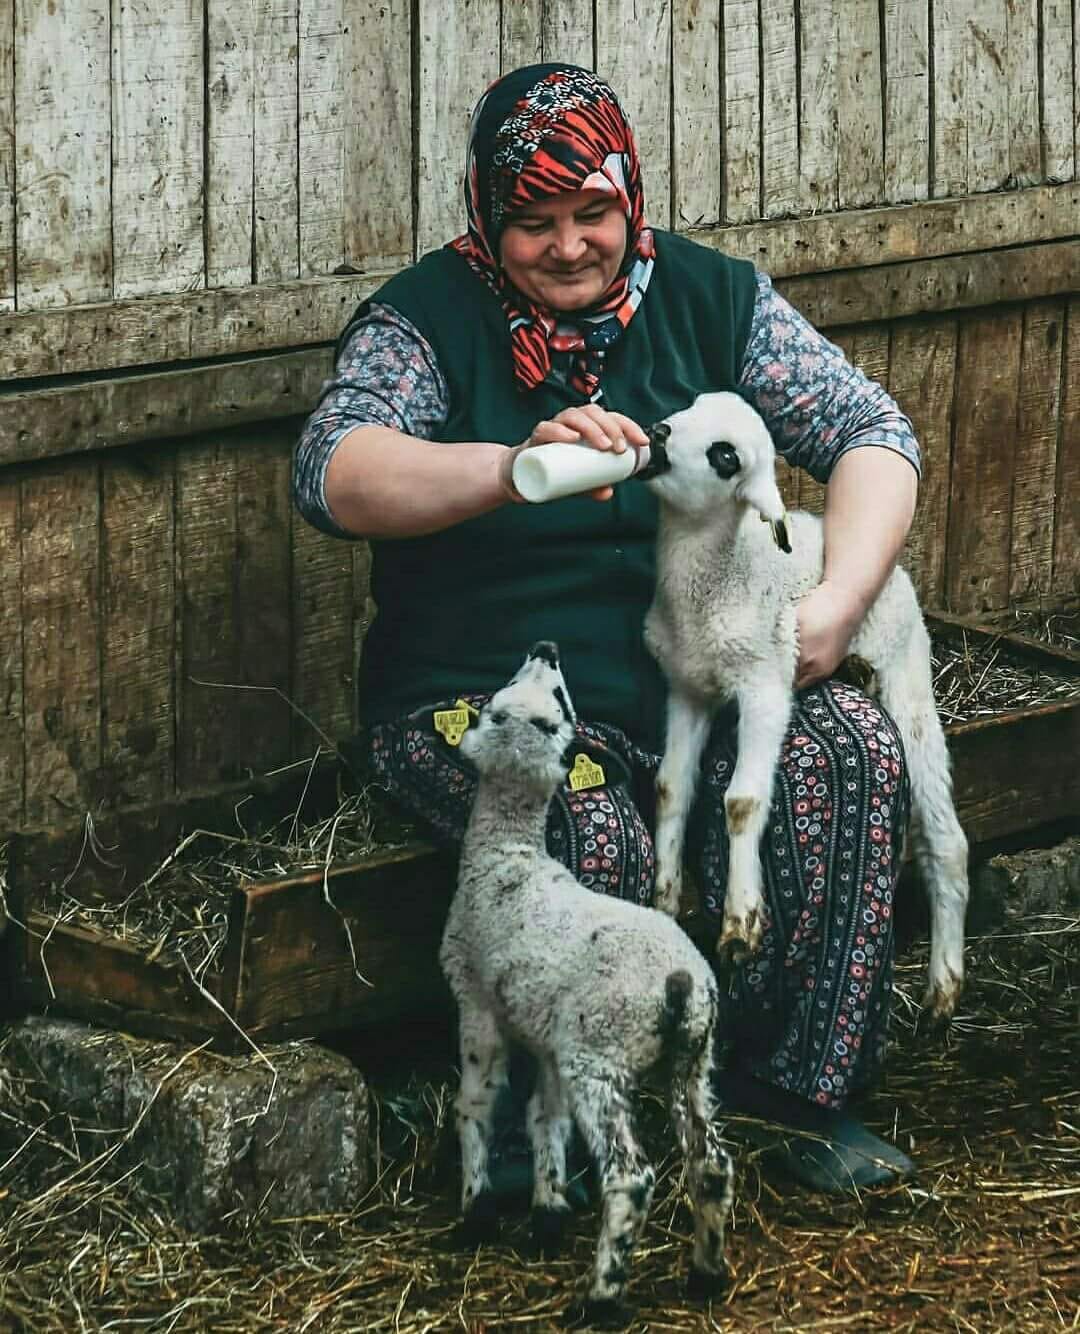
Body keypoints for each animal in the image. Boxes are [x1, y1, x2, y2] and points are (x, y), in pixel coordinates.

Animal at [437, 645, 730, 1323]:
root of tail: (680, 983)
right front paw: (547, 1211)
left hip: (602, 1056)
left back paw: (602, 1297)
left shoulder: (476, 1001)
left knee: (630, 1177)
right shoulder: (547, 1035)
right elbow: (545, 1116)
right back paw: (705, 1274)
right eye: (563, 706)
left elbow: (477, 1103)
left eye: (491, 709)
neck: (508, 854)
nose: (545, 649)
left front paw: (474, 1209)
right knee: (710, 1163)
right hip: (693, 1060)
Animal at [640, 389, 965, 1024]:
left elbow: (741, 801)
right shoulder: (686, 689)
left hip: (908, 676)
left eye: (725, 457)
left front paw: (741, 920)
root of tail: (898, 569)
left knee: (946, 840)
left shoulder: (766, 683)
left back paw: (943, 985)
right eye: (689, 405)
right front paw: (664, 894)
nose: (658, 432)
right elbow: (670, 788)